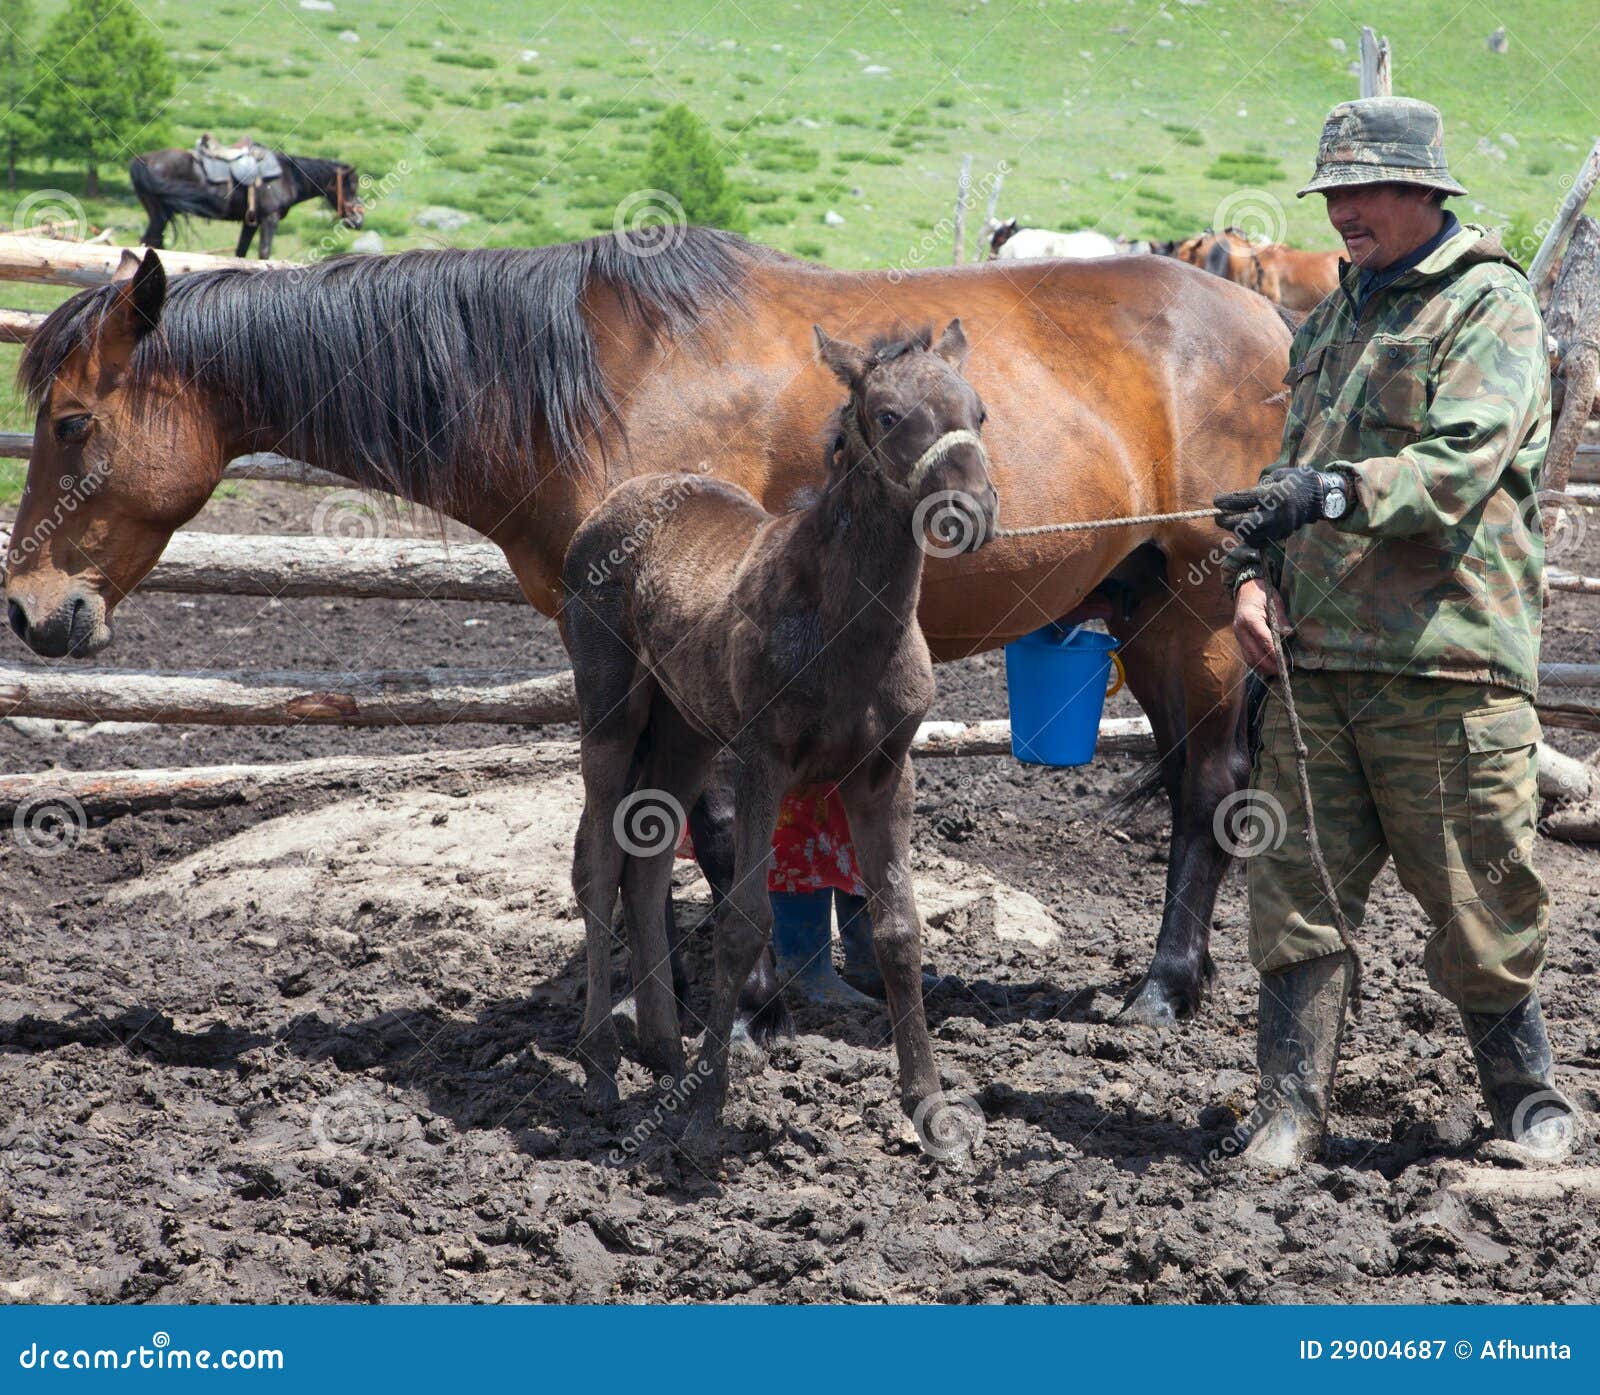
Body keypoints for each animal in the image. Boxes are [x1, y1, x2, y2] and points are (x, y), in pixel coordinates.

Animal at [3, 231, 1286, 1036]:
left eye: (70, 424)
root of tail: (1269, 320)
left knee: (1208, 793)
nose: (31, 609)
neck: (587, 384)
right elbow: (657, 826)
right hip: (1146, 615)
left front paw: (751, 1000)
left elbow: (706, 829)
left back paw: (1164, 988)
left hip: (1202, 618)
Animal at [128, 149, 366, 262]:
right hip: (160, 214)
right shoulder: (269, 219)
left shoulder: (250, 222)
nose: (358, 220)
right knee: (150, 242)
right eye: (350, 185)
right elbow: (264, 253)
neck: (287, 177)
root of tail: (142, 160)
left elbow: (241, 253)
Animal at [556, 318, 992, 1158]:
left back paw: (664, 1051)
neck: (849, 626)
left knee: (645, 862)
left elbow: (896, 925)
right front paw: (704, 1116)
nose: (971, 509)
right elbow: (743, 919)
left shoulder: (885, 771)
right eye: (887, 415)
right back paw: (599, 1069)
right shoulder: (763, 761)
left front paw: (931, 1109)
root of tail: (611, 504)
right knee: (596, 862)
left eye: (979, 412)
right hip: (610, 713)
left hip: (685, 731)